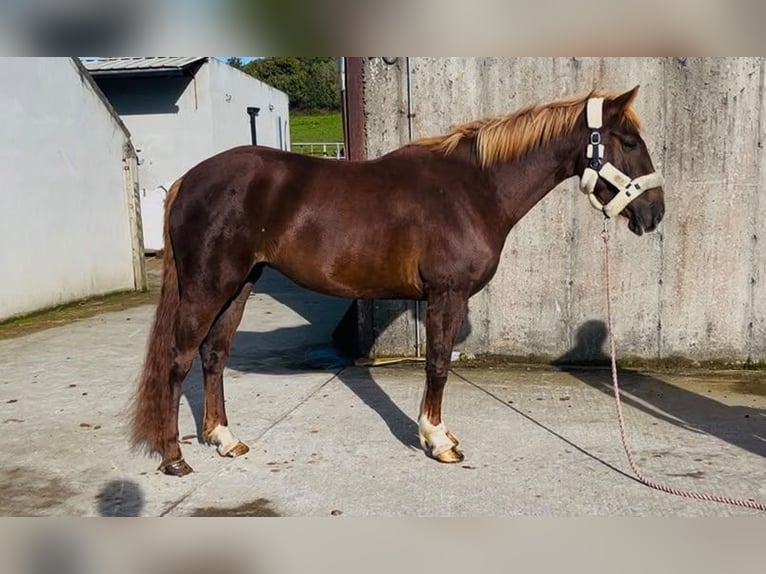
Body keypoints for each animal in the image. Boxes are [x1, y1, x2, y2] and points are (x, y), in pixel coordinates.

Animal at [131, 86, 665, 476]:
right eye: (630, 143)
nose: (654, 213)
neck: (474, 190)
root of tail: (189, 180)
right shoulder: (446, 294)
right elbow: (438, 366)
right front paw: (438, 440)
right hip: (209, 287)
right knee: (177, 361)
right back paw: (174, 458)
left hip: (240, 285)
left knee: (214, 355)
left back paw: (225, 439)